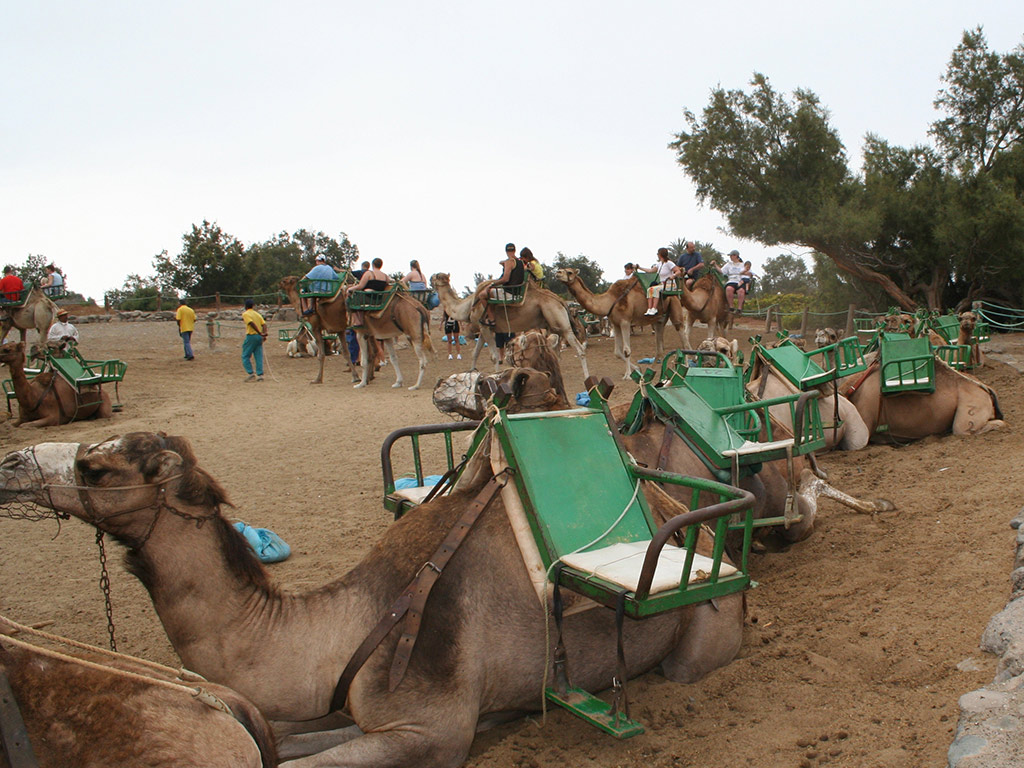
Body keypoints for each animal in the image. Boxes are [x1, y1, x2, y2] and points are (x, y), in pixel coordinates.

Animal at [431, 273, 589, 380]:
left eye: (437, 276)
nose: (431, 277)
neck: (468, 306)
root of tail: (560, 301)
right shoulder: (483, 329)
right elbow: (475, 353)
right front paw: (471, 372)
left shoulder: (486, 328)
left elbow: (494, 356)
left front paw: (494, 376)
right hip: (551, 325)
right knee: (555, 349)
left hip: (560, 322)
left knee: (580, 349)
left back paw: (587, 377)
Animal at [554, 268, 687, 379]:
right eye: (562, 269)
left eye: (569, 272)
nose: (558, 273)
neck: (610, 301)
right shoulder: (615, 323)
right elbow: (617, 352)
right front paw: (637, 369)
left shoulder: (625, 322)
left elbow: (627, 350)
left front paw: (628, 375)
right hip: (660, 319)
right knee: (660, 347)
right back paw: (654, 371)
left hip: (674, 305)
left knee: (682, 335)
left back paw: (686, 366)